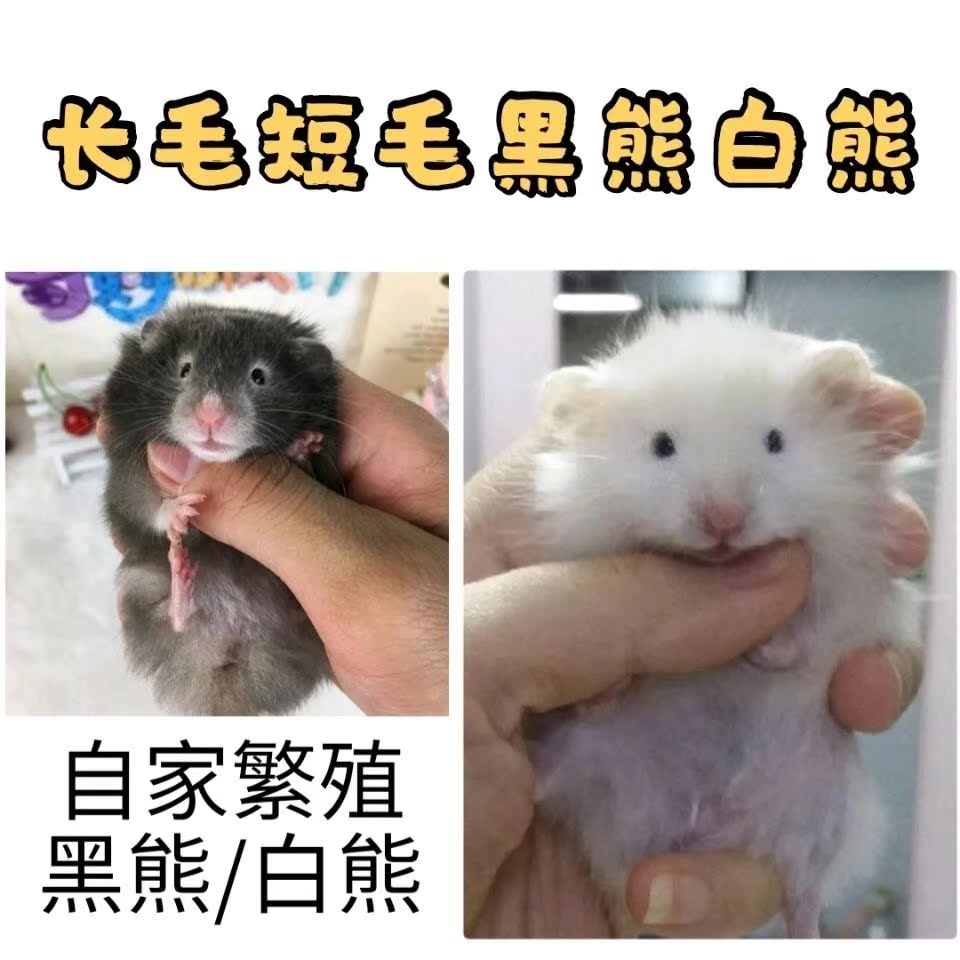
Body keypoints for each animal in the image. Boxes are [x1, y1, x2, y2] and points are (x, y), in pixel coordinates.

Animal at [102, 303, 343, 715]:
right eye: (185, 369)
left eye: (259, 376)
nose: (210, 417)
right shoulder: (129, 470)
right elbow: (144, 502)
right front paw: (181, 514)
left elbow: (311, 463)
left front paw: (301, 445)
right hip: (141, 584)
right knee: (172, 619)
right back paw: (181, 574)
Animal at [526, 311, 922, 937]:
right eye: (662, 446)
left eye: (775, 441)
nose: (724, 521)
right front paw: (604, 694)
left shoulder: (853, 580)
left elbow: (814, 629)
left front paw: (761, 652)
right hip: (584, 764)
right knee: (546, 787)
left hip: (823, 811)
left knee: (804, 891)